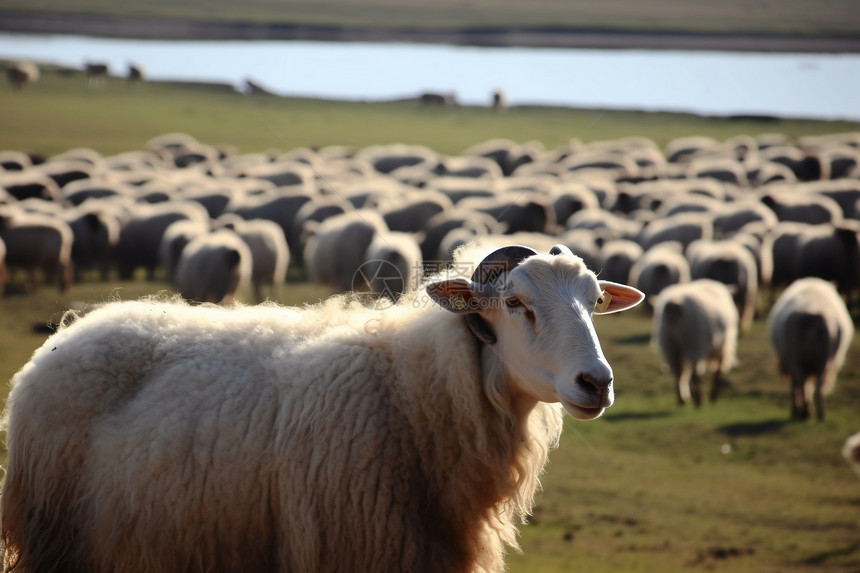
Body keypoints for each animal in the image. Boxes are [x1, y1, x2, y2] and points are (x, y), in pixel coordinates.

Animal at [764, 278, 852, 420]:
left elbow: (796, 384)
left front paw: (797, 409)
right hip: (822, 359)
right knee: (815, 383)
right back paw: (818, 413)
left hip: (798, 357)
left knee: (801, 381)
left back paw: (805, 410)